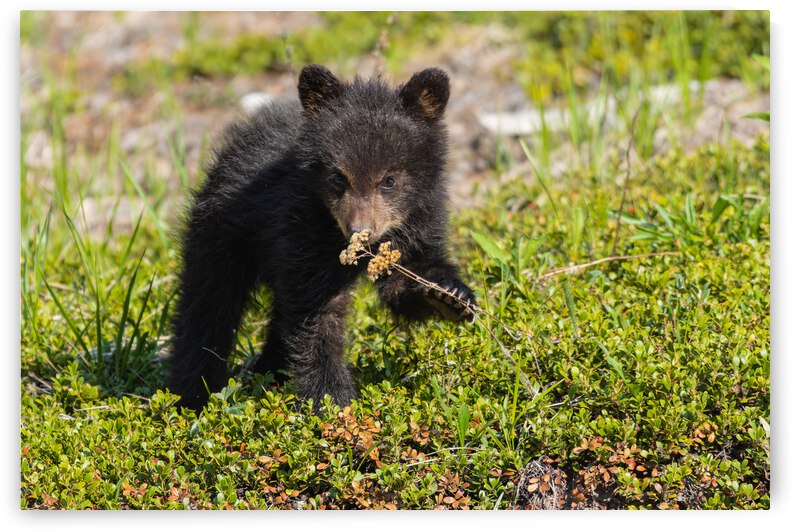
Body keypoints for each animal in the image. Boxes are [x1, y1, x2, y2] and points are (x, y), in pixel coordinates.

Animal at [168, 64, 476, 410]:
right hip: (223, 231)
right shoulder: (301, 227)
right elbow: (316, 315)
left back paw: (268, 372)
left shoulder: (418, 220)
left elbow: (404, 278)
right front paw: (332, 399)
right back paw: (192, 395)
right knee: (208, 305)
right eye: (338, 177)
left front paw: (448, 295)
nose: (359, 231)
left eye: (389, 181)